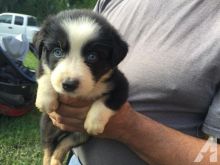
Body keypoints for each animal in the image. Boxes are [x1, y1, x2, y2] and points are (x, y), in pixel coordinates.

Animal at [34, 9, 129, 165]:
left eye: (92, 56)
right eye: (57, 52)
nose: (69, 84)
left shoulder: (120, 83)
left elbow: (109, 100)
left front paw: (94, 122)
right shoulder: (44, 63)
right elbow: (45, 73)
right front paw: (45, 100)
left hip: (79, 136)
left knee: (62, 145)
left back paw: (56, 160)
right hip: (48, 125)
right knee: (48, 147)